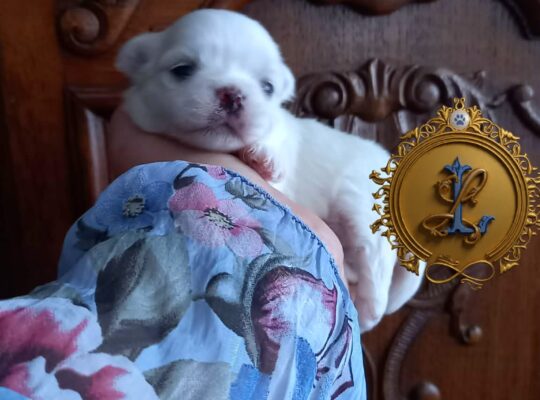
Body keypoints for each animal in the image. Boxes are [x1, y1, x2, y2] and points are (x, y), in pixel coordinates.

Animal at [116, 9, 424, 331]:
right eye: (182, 70)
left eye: (267, 87)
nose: (232, 94)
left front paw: (262, 157)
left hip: (360, 211)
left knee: (375, 269)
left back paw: (366, 310)